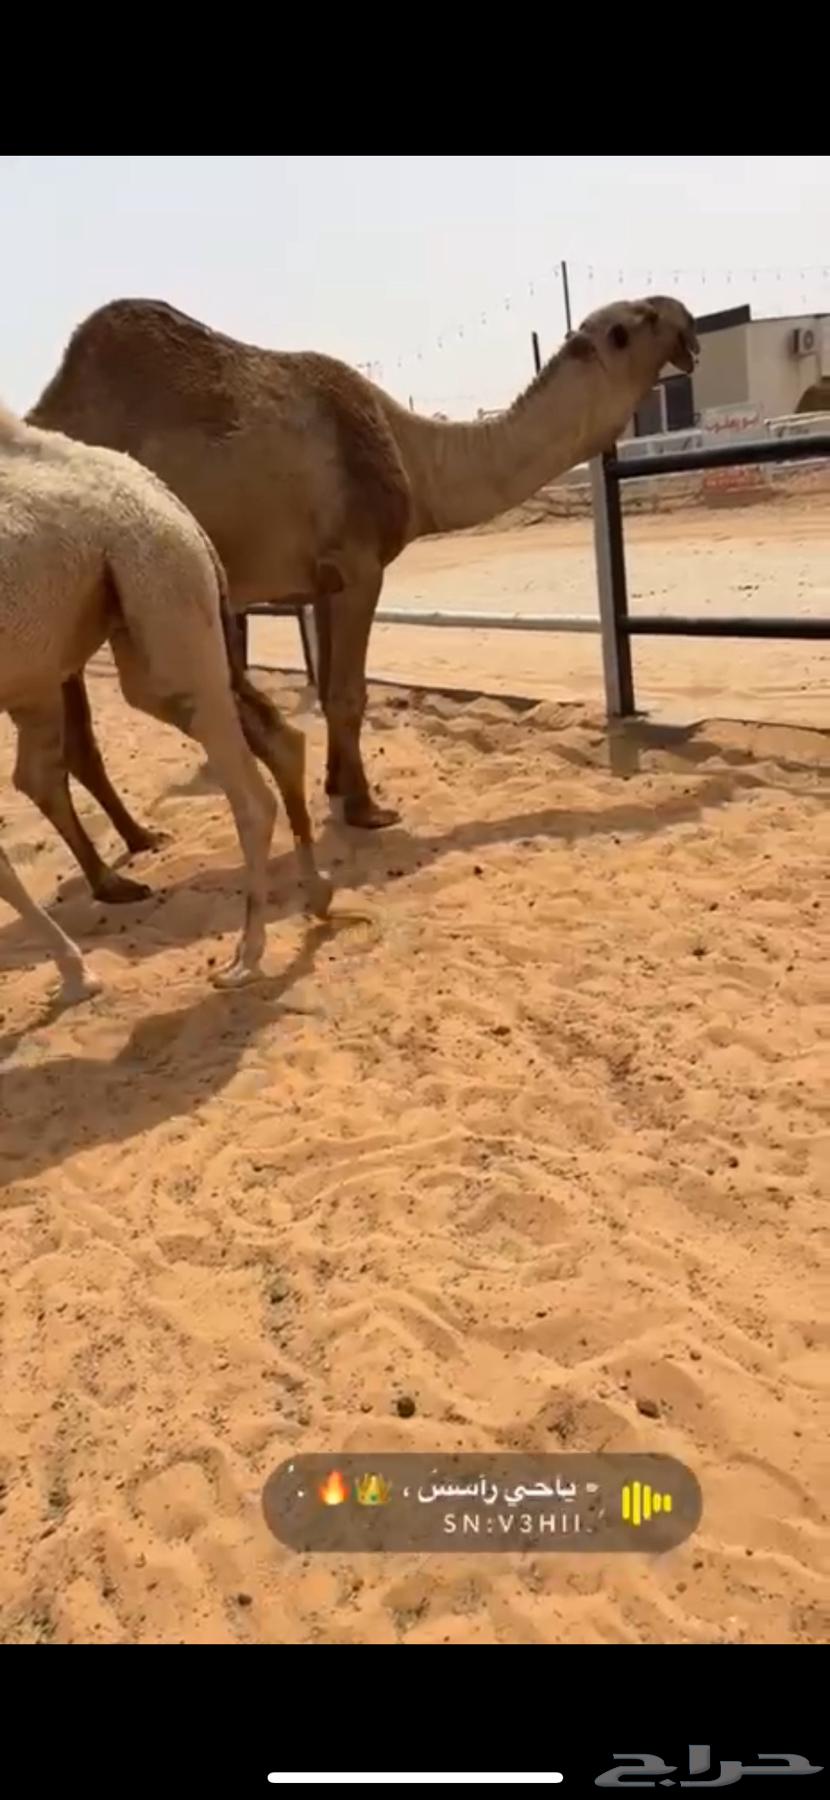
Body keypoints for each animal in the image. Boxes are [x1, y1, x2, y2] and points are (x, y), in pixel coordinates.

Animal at [0, 401, 331, 1004]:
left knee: (248, 789)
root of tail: (168, 498)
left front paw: (78, 975)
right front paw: (74, 973)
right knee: (273, 735)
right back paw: (316, 894)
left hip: (154, 576)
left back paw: (244, 959)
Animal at [28, 292, 698, 897]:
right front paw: (368, 809)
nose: (689, 320)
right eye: (643, 319)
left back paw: (138, 843)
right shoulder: (359, 564)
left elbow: (329, 689)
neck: (416, 457)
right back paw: (111, 879)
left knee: (75, 744)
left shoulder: (321, 579)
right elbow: (349, 693)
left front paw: (335, 786)